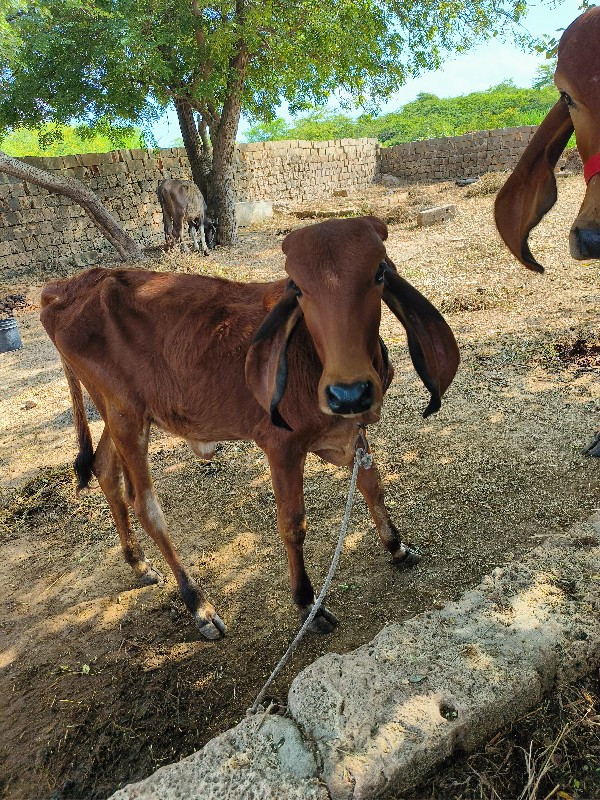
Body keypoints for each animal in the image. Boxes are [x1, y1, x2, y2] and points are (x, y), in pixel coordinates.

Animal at [39, 216, 458, 640]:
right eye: (298, 288)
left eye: (378, 274)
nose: (349, 392)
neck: (309, 353)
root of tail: (64, 289)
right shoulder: (282, 447)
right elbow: (292, 523)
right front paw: (307, 604)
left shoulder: (350, 433)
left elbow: (373, 487)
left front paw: (397, 547)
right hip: (125, 415)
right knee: (146, 506)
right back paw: (198, 604)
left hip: (120, 413)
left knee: (104, 469)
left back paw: (137, 562)